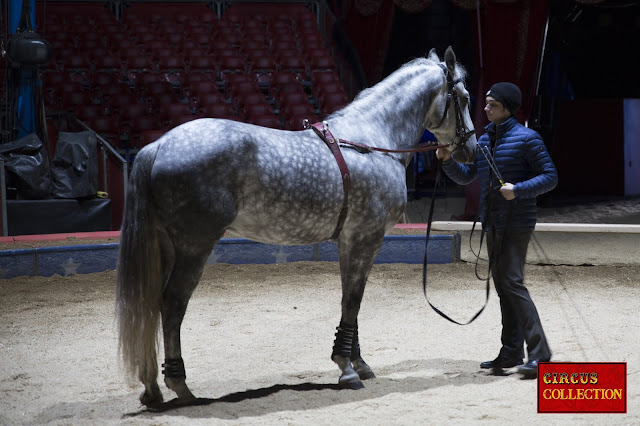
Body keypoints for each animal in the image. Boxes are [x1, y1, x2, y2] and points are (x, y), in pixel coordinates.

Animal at [116, 45, 476, 406]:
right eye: (464, 97)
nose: (471, 149)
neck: (370, 141)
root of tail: (158, 145)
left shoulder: (350, 241)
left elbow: (351, 301)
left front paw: (358, 363)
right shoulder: (365, 239)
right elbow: (352, 301)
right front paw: (347, 369)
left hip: (165, 247)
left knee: (151, 306)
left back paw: (151, 388)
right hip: (194, 246)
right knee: (173, 304)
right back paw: (181, 386)